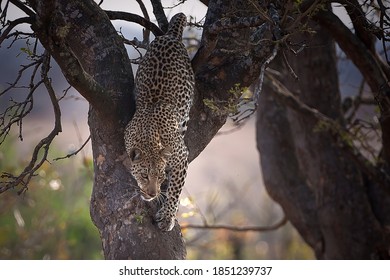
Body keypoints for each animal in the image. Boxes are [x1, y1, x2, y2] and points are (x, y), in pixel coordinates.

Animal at [124, 13, 194, 232]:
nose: (152, 193)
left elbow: (175, 190)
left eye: (160, 177)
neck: (148, 136)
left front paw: (167, 216)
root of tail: (169, 36)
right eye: (145, 176)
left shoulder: (182, 157)